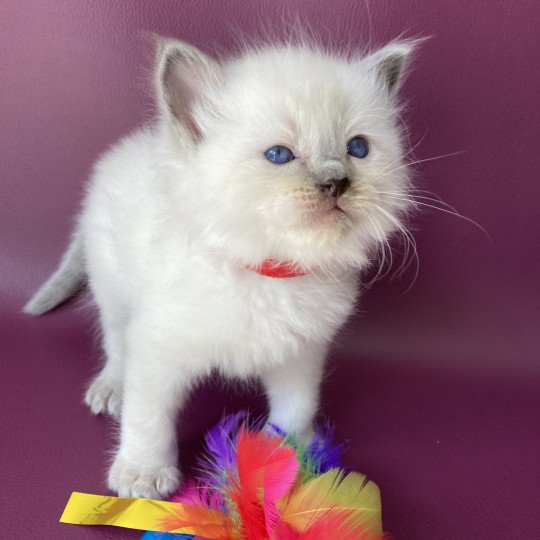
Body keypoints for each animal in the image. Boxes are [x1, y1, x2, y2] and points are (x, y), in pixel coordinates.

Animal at [24, 38, 414, 500]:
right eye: (279, 155)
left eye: (358, 149)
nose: (337, 182)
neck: (267, 273)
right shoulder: (156, 348)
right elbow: (147, 417)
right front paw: (142, 474)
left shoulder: (301, 353)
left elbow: (296, 406)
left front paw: (294, 456)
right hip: (113, 292)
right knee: (116, 345)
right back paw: (110, 388)